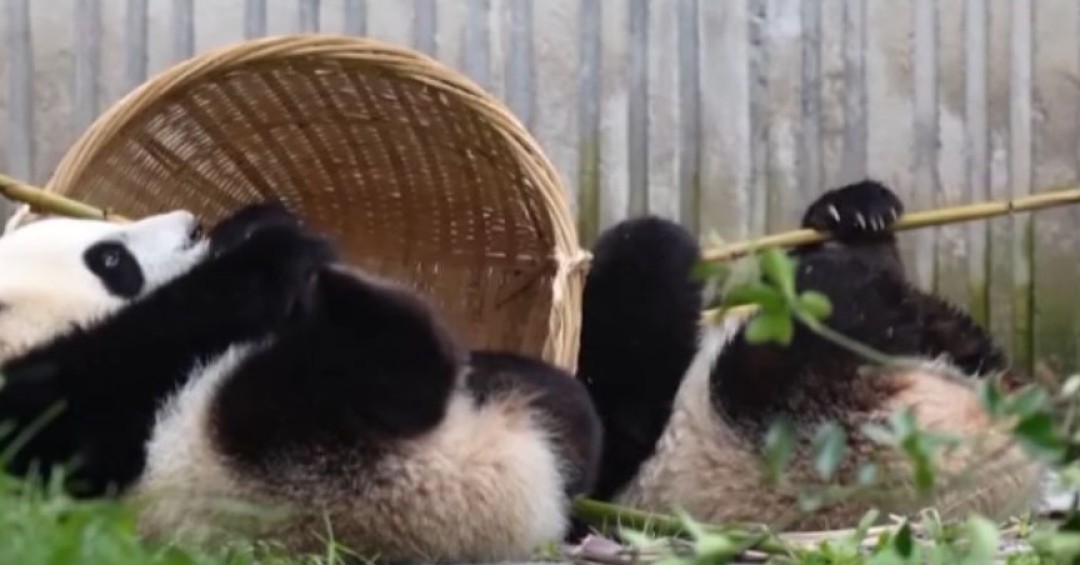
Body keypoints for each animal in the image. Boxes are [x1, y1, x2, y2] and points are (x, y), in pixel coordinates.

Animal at [0, 203, 602, 562]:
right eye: (109, 259)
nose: (194, 225)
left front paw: (253, 221)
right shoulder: (49, 420)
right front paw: (275, 245)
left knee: (555, 402)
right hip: (252, 454)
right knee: (328, 388)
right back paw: (366, 313)